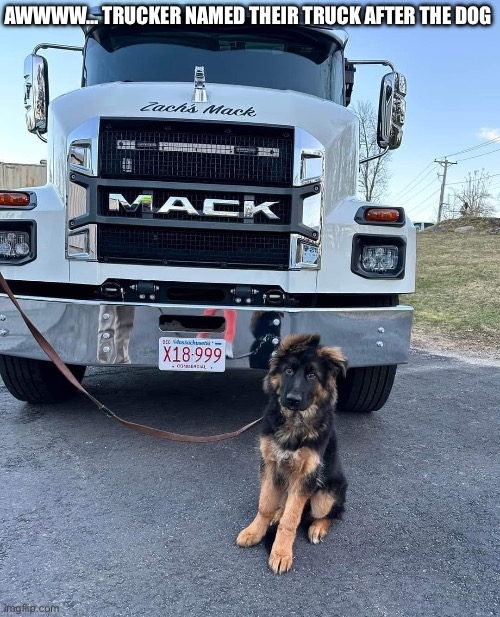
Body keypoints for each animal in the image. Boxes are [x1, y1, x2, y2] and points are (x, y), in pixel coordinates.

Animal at [237, 332, 348, 572]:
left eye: (312, 375)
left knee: (332, 513)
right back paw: (278, 513)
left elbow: (291, 520)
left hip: (324, 496)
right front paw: (255, 531)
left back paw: (318, 527)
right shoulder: (270, 465)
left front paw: (281, 553)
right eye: (288, 370)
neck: (295, 423)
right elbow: (265, 505)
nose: (292, 400)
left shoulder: (305, 475)